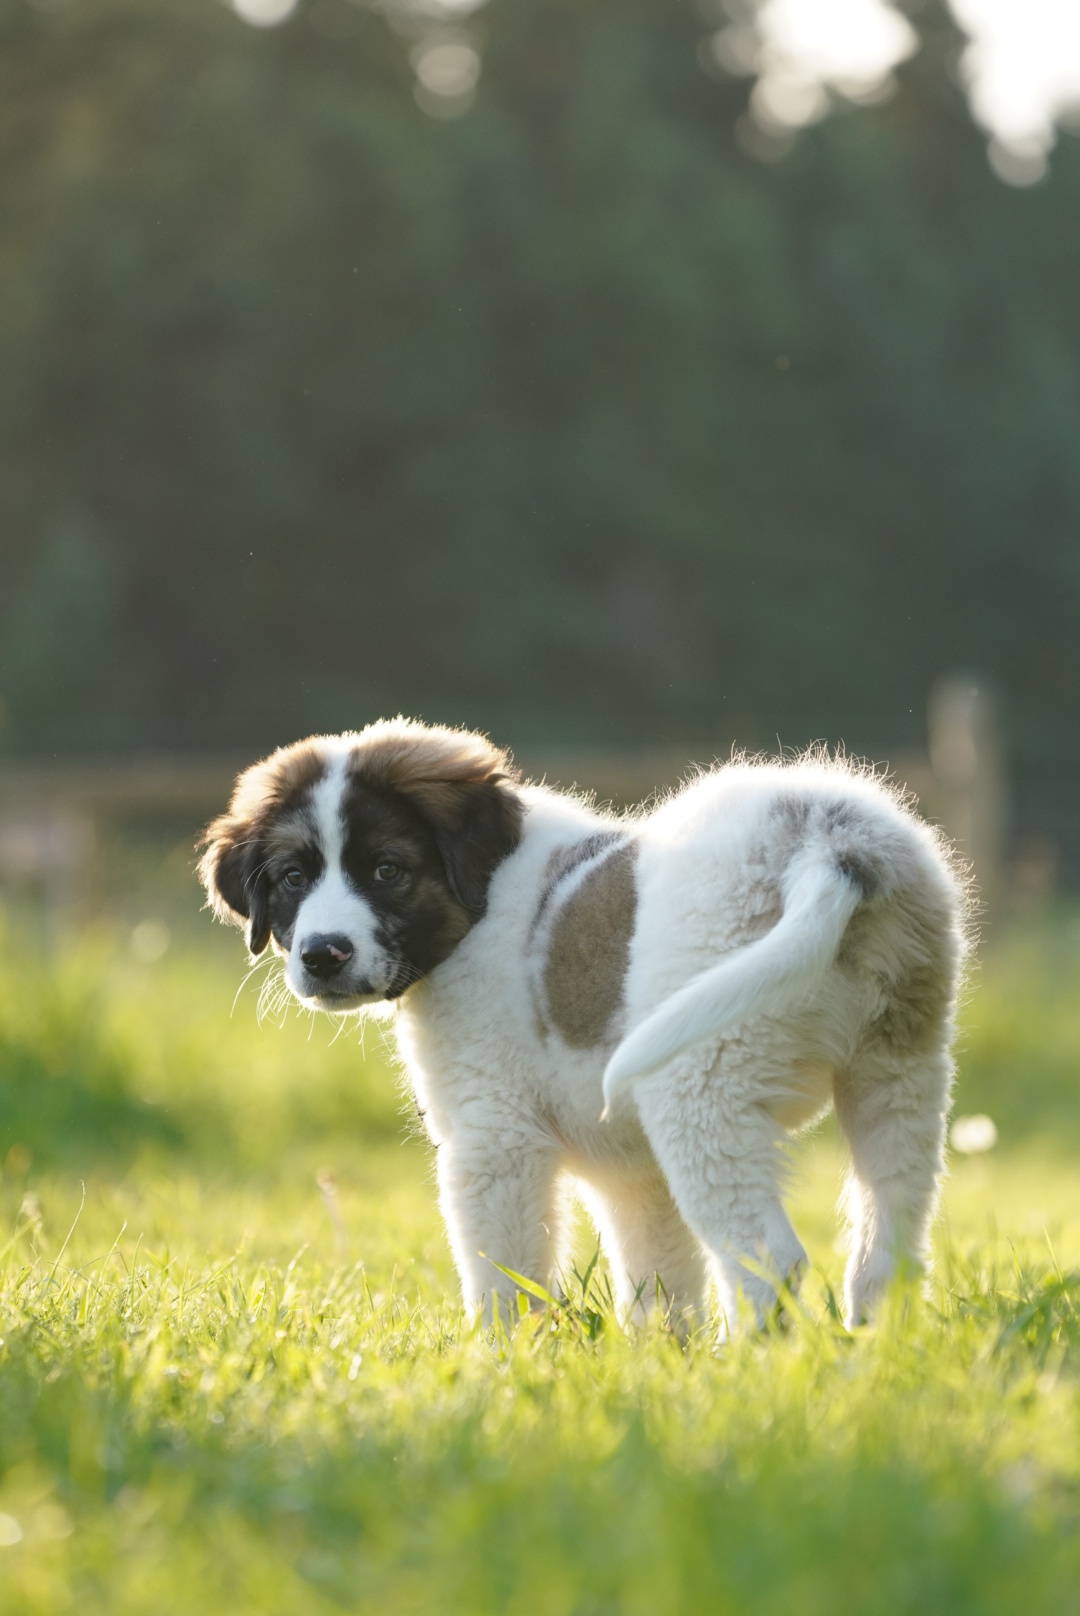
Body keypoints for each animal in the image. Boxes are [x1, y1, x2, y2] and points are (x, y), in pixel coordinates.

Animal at [200, 727, 970, 1331]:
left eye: (388, 870)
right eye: (293, 878)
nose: (323, 954)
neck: (481, 900)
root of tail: (829, 844)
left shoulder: (493, 1140)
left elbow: (503, 1280)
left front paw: (501, 1367)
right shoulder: (630, 1170)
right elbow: (658, 1282)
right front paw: (661, 1363)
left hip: (701, 1089)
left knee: (766, 1261)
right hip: (899, 1073)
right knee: (889, 1253)